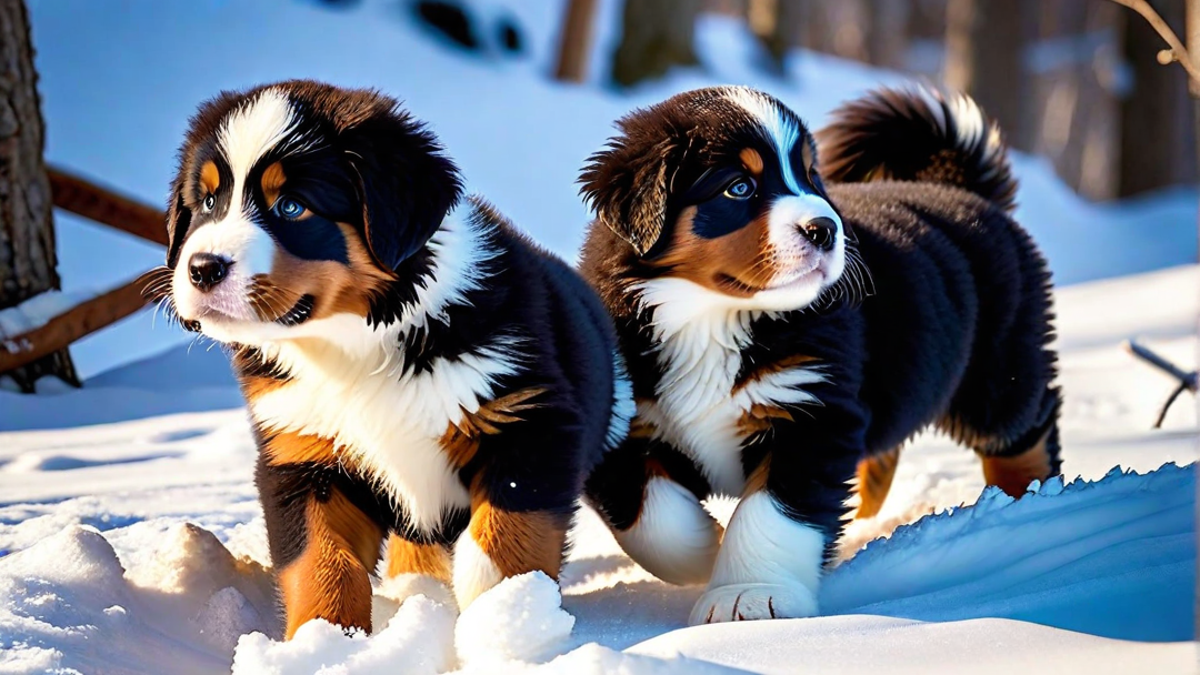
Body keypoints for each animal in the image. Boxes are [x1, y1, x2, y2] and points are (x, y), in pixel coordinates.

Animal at [156, 79, 633, 634]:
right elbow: (320, 563)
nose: (202, 268)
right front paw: (325, 641)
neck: (354, 346)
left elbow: (501, 544)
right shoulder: (303, 455)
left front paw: (501, 623)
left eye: (292, 207)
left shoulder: (530, 424)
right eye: (208, 201)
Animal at [580, 86, 1060, 624]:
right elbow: (650, 516)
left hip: (997, 369)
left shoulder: (810, 411)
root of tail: (963, 191)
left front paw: (748, 594)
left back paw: (1032, 510)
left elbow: (771, 512)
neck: (709, 319)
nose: (825, 229)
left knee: (1025, 434)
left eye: (811, 177)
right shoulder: (621, 419)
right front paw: (707, 551)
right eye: (739, 188)